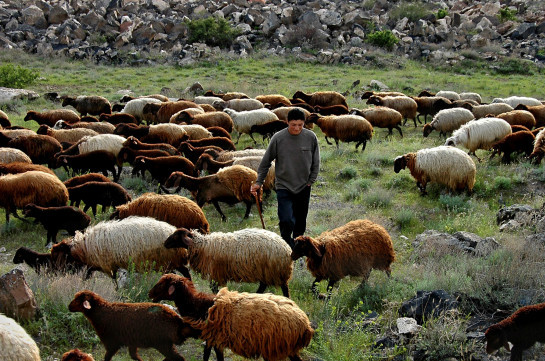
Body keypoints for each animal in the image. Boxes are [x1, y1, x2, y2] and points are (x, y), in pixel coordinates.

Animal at [67, 288, 197, 361]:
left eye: (78, 300)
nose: (68, 307)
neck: (102, 312)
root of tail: (176, 318)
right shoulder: (131, 342)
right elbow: (134, 356)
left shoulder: (112, 343)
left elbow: (107, 357)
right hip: (165, 343)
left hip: (162, 343)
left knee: (178, 358)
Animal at [148, 272, 314, 360]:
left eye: (162, 284)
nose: (149, 294)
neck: (198, 305)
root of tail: (305, 325)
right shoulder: (212, 338)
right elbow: (209, 355)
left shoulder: (214, 338)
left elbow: (211, 357)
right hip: (287, 347)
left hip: (273, 346)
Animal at [165, 226, 294, 296]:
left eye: (176, 236)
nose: (165, 243)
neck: (202, 246)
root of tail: (287, 249)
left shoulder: (215, 273)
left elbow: (214, 288)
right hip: (267, 272)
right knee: (263, 285)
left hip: (275, 271)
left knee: (284, 288)